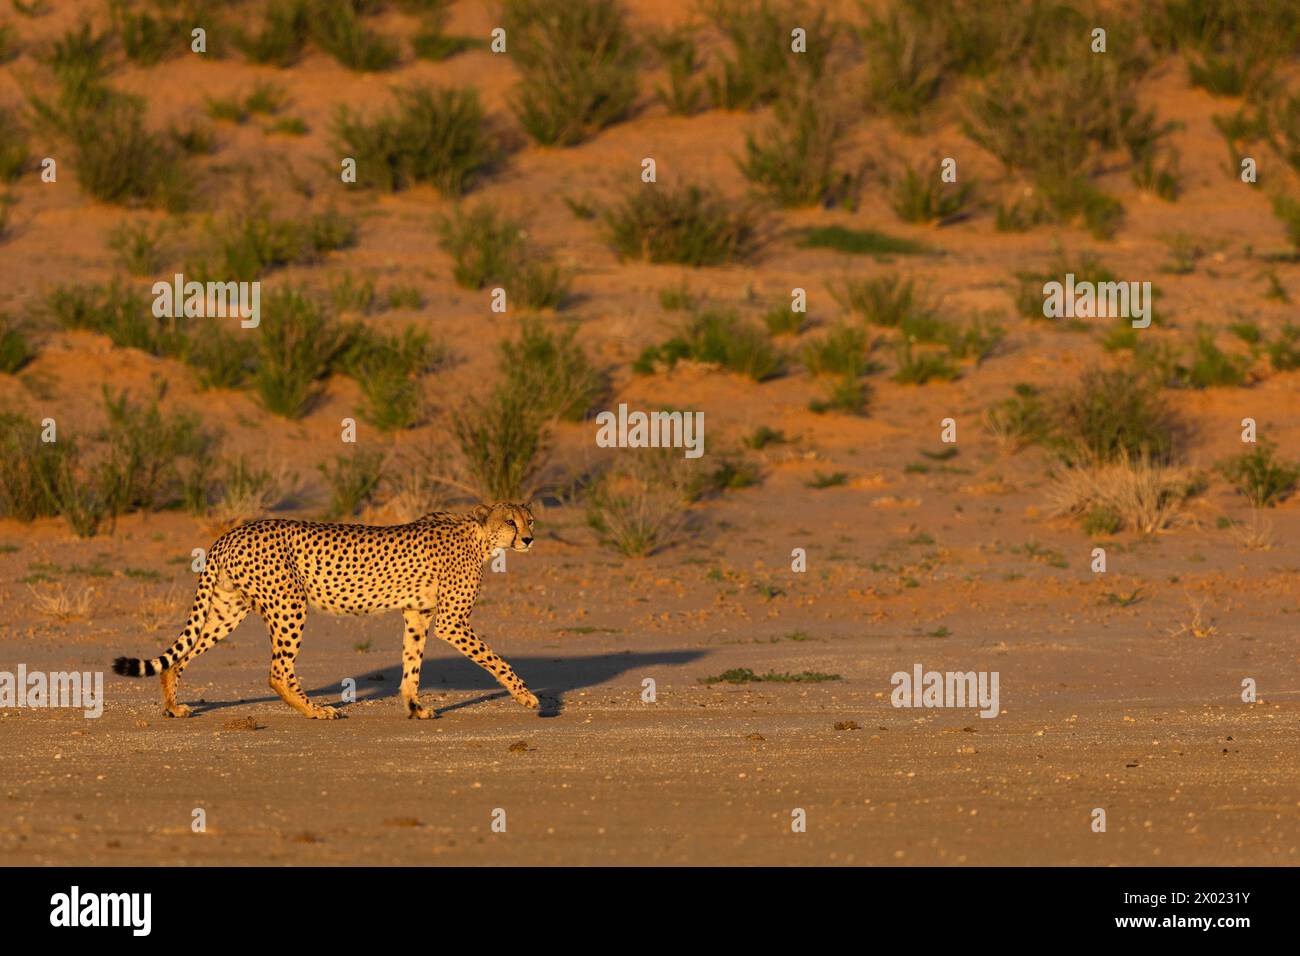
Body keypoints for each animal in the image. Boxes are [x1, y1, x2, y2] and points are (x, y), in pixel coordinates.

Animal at [111, 504, 538, 723]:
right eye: (510, 521)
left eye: (528, 519)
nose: (530, 538)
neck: (480, 535)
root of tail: (231, 533)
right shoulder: (452, 621)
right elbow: (495, 659)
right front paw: (527, 697)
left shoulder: (418, 612)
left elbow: (412, 663)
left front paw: (414, 706)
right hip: (289, 604)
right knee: (277, 670)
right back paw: (315, 710)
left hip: (227, 609)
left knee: (179, 657)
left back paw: (173, 705)